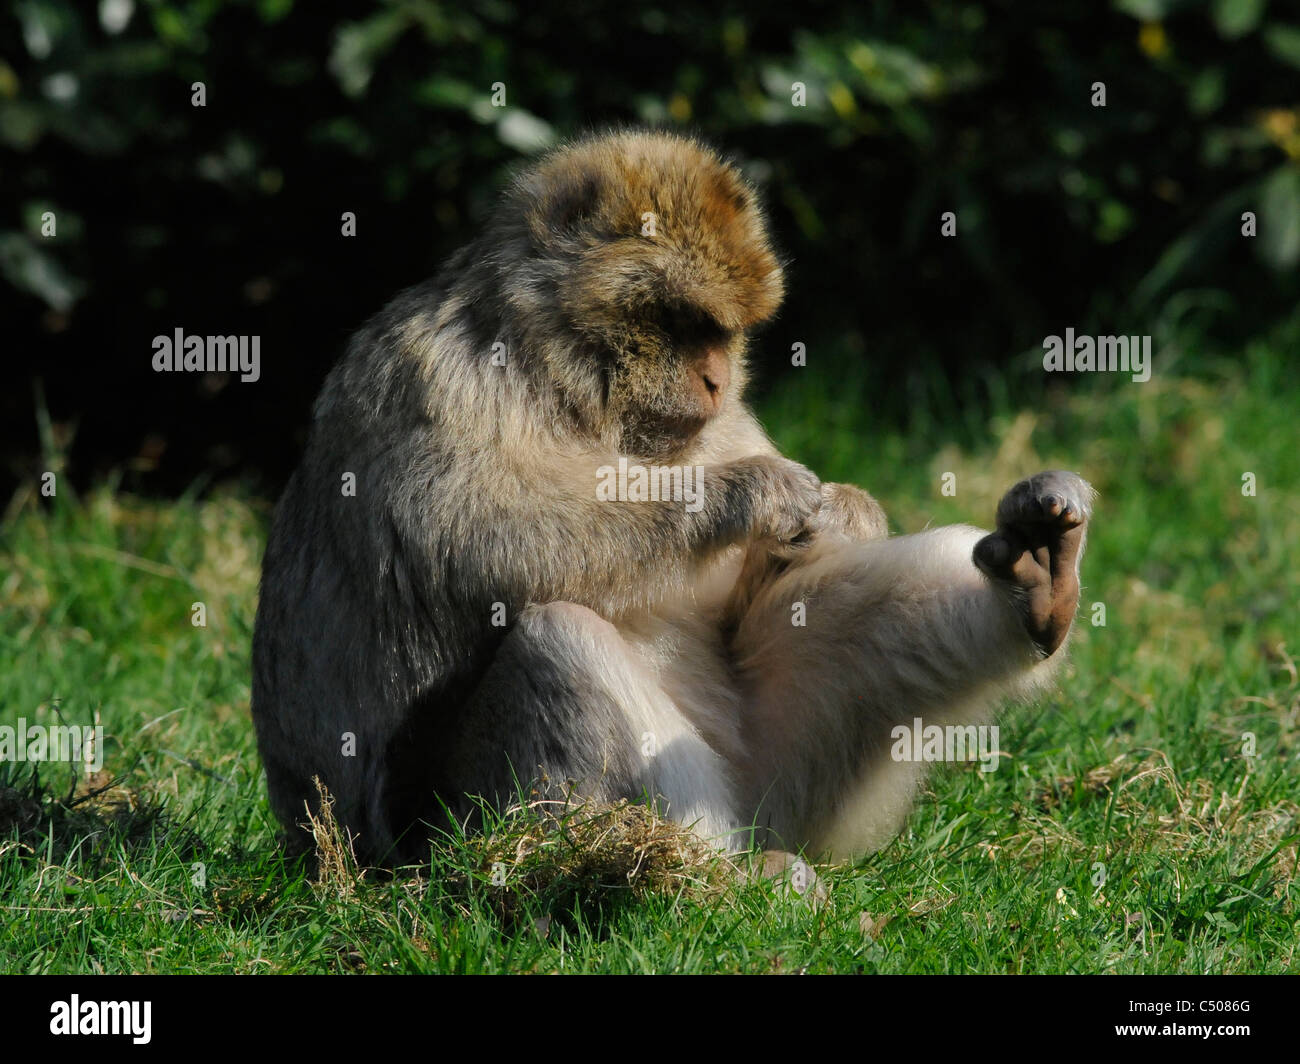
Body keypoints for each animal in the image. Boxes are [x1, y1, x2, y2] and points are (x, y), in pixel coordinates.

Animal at [251, 129, 1093, 868]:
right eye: (682, 322)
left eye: (726, 333)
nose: (718, 378)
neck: (562, 384)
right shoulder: (427, 375)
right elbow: (478, 543)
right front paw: (743, 495)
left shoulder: (722, 424)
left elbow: (754, 600)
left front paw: (848, 512)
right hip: (445, 831)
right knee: (558, 637)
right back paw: (702, 882)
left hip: (785, 783)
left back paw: (1037, 585)